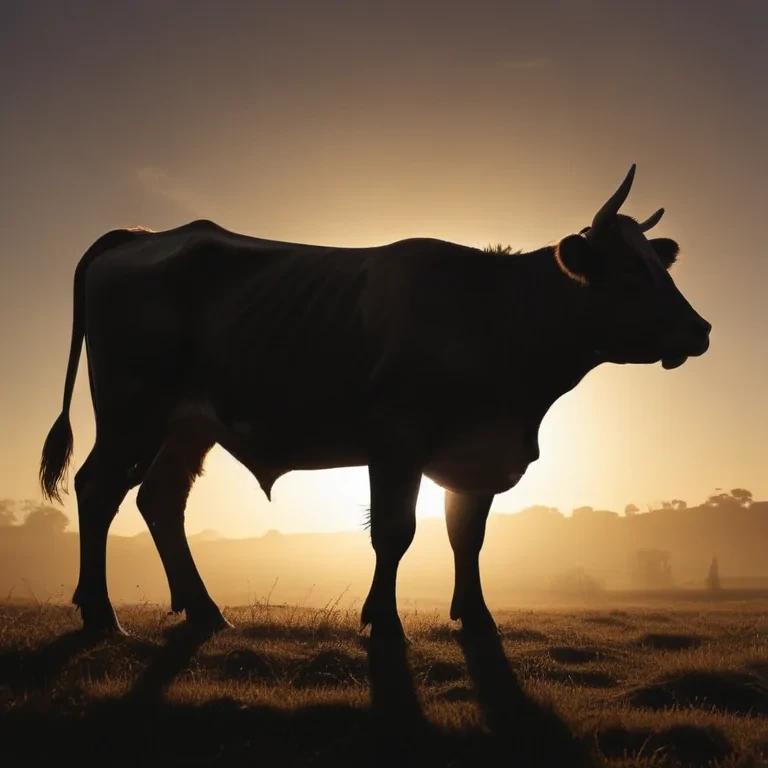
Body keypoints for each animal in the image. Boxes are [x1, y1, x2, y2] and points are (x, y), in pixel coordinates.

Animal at [38, 164, 711, 639]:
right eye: (631, 270)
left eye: (660, 265)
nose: (700, 330)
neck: (494, 318)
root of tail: (144, 236)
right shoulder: (397, 440)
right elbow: (395, 532)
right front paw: (384, 621)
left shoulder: (477, 451)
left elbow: (467, 536)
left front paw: (477, 617)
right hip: (131, 412)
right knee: (98, 489)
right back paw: (100, 614)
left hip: (188, 425)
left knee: (158, 499)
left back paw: (204, 611)